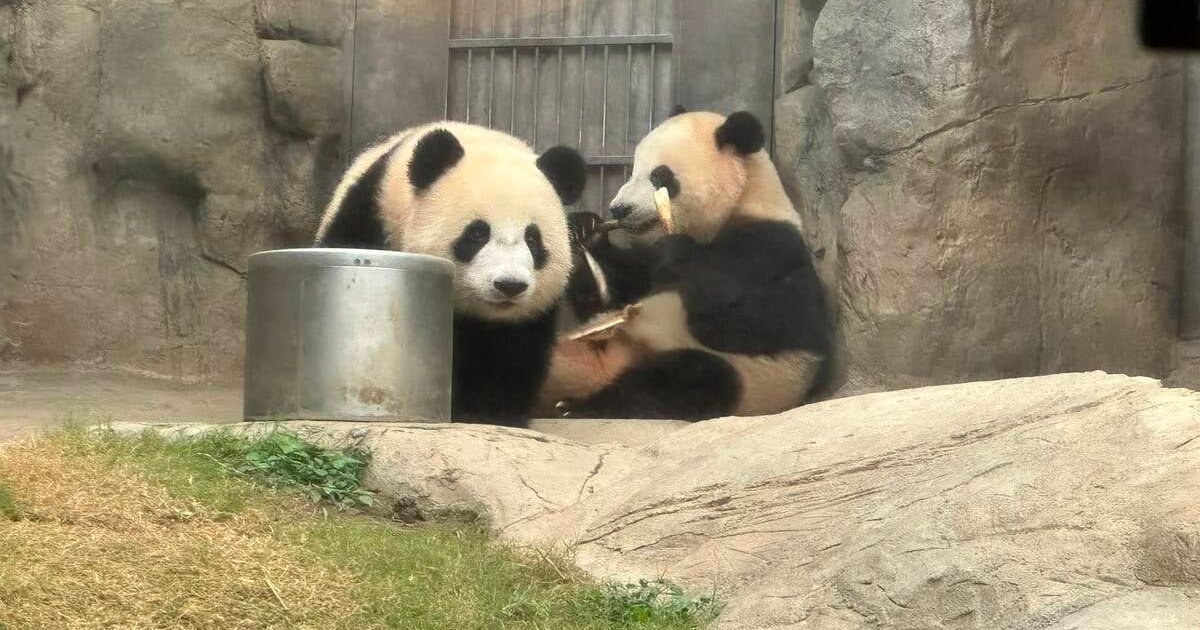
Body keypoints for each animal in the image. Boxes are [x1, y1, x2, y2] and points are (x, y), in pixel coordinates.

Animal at [315, 121, 586, 424]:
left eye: (533, 239)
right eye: (477, 234)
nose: (509, 285)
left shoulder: (530, 313)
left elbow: (515, 352)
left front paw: (494, 413)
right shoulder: (372, 212)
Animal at [543, 108, 831, 421]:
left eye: (660, 175)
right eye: (633, 170)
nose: (618, 209)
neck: (743, 203)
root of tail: (607, 365)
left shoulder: (768, 248)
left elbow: (752, 322)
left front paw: (674, 252)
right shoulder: (640, 267)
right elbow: (615, 295)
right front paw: (585, 229)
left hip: (754, 381)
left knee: (687, 378)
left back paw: (578, 407)